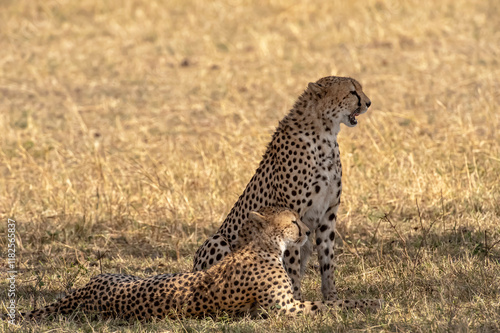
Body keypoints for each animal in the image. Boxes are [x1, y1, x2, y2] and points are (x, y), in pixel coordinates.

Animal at [18, 206, 378, 320]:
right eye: (292, 221)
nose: (306, 231)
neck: (263, 246)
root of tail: (86, 291)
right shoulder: (283, 308)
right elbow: (330, 305)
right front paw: (369, 302)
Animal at [193, 76, 374, 300]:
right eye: (352, 92)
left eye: (360, 89)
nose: (368, 103)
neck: (325, 134)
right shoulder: (292, 211)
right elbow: (292, 262)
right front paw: (295, 297)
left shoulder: (328, 213)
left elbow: (327, 258)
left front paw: (331, 297)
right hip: (217, 240)